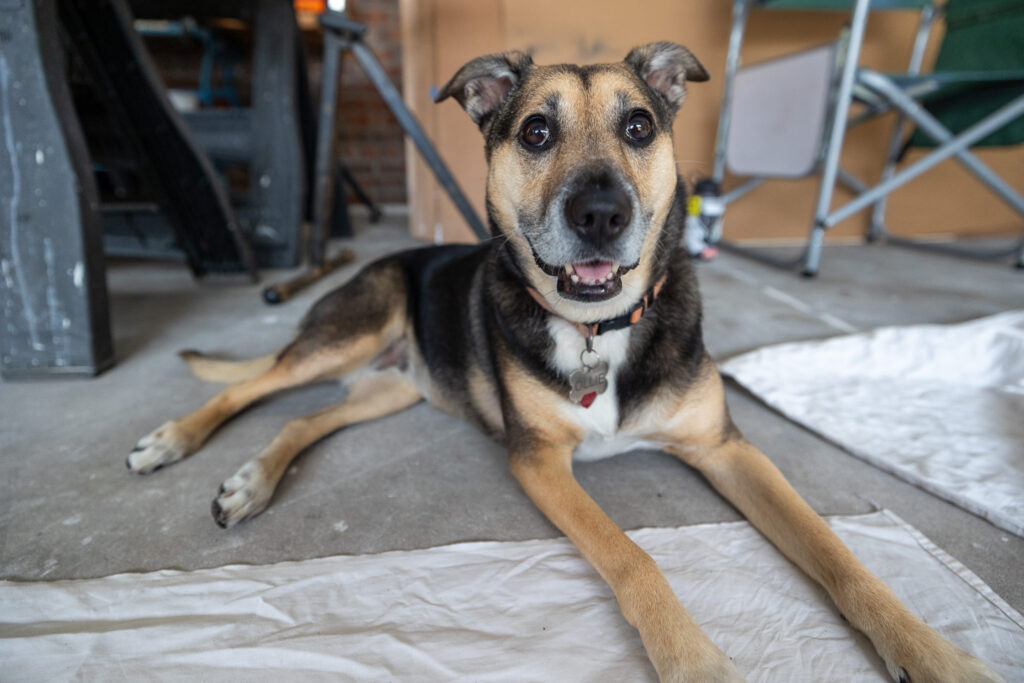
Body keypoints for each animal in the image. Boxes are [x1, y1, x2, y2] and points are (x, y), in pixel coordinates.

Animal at [128, 44, 999, 683]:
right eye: (537, 132)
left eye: (640, 127)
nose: (601, 214)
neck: (597, 329)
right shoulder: (540, 459)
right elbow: (635, 556)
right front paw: (696, 661)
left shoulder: (726, 447)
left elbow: (840, 554)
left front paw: (934, 652)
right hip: (350, 330)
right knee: (254, 385)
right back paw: (177, 440)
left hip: (394, 387)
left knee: (308, 416)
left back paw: (253, 479)